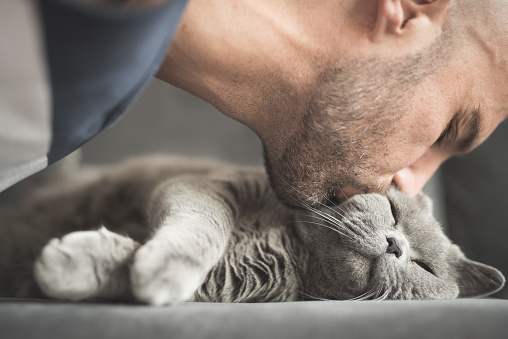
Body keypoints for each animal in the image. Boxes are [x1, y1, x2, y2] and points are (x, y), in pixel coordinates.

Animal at [0, 155, 504, 304]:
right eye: (393, 210)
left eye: (424, 267)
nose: (396, 245)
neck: (292, 248)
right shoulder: (206, 185)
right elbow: (205, 228)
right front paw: (165, 266)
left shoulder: (226, 283)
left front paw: (73, 264)